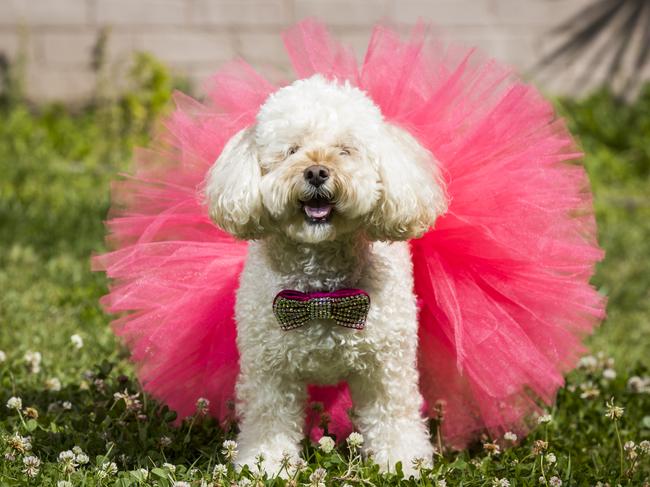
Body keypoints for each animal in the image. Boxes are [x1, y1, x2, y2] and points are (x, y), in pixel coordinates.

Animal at [206, 75, 446, 476]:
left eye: (345, 150)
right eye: (291, 151)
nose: (317, 171)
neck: (320, 295)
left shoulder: (385, 370)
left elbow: (393, 417)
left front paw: (401, 464)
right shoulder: (269, 371)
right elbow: (269, 420)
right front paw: (265, 465)